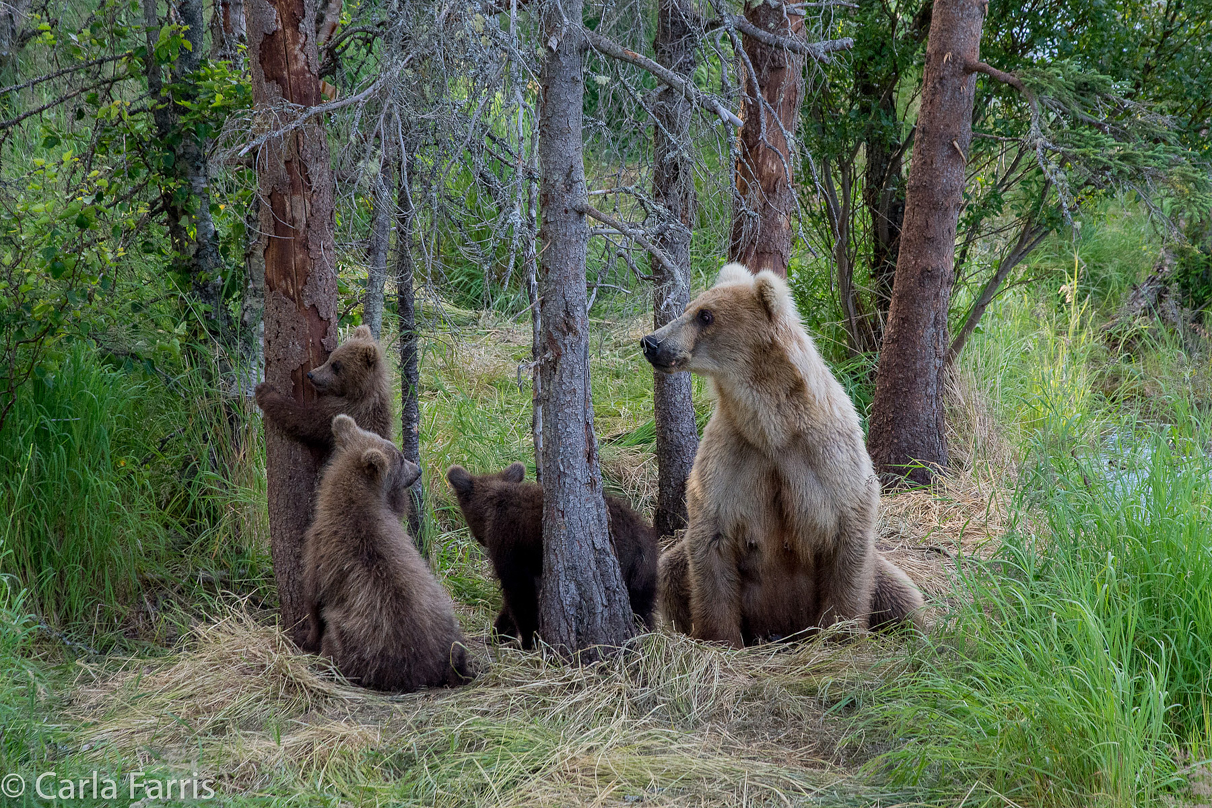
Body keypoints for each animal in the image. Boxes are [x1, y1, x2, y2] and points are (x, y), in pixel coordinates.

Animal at [255, 327, 392, 455]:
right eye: (330, 357)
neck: (359, 392)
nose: (311, 375)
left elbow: (304, 420)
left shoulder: (343, 410)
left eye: (336, 365)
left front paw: (265, 391)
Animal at [303, 414, 472, 692]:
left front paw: (309, 636)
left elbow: (314, 598)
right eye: (401, 457)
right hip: (444, 618)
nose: (417, 469)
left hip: (358, 641)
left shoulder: (320, 554)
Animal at [446, 465, 659, 649]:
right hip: (644, 578)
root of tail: (640, 547)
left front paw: (527, 640)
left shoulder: (509, 547)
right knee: (643, 610)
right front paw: (500, 633)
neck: (492, 509)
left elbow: (520, 594)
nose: (480, 541)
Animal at [639, 264, 921, 644]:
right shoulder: (732, 455)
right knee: (669, 570)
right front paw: (720, 637)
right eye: (689, 308)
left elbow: (848, 536)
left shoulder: (826, 456)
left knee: (904, 596)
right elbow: (711, 539)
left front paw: (840, 631)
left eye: (705, 315)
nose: (651, 342)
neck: (772, 426)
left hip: (883, 575)